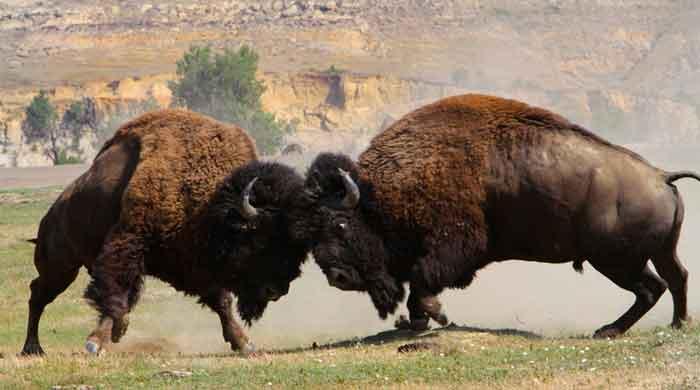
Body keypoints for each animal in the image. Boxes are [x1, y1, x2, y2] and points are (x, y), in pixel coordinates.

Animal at [21, 109, 308, 356]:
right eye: (261, 240)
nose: (278, 290)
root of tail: (51, 213)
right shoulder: (128, 242)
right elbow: (116, 292)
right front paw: (100, 340)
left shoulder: (199, 264)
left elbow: (221, 302)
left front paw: (243, 343)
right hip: (62, 267)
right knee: (38, 294)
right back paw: (32, 348)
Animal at [296, 94, 700, 338]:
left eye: (340, 224)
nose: (337, 276)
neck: (377, 195)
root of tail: (661, 176)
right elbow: (418, 285)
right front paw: (419, 321)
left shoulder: (451, 247)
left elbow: (423, 281)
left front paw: (433, 315)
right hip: (653, 253)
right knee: (673, 278)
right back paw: (675, 323)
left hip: (616, 260)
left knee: (652, 287)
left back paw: (611, 330)